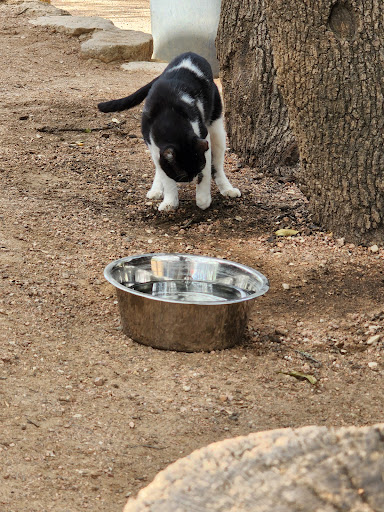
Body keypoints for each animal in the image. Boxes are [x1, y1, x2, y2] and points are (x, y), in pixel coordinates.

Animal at [97, 52, 240, 212]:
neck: (169, 117)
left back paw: (227, 188)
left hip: (217, 130)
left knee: (218, 165)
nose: (192, 179)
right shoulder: (154, 145)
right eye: (182, 174)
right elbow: (166, 175)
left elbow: (207, 171)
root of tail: (190, 54)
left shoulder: (203, 138)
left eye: (198, 168)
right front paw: (170, 202)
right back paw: (156, 190)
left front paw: (203, 200)